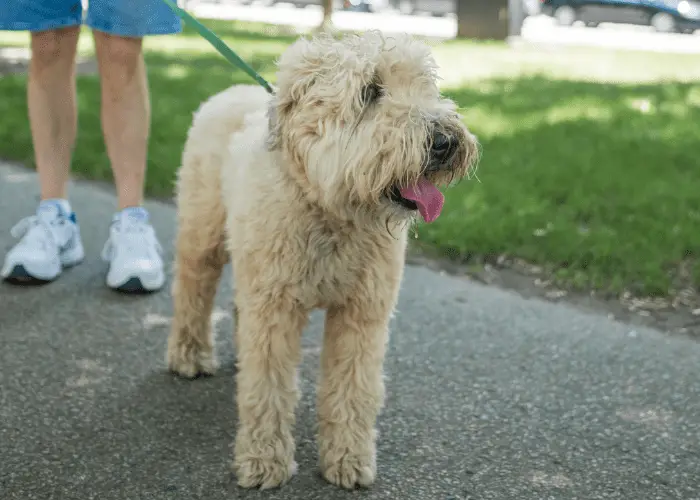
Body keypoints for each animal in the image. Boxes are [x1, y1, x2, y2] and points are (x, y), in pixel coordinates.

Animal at [165, 29, 482, 490]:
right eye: (370, 91)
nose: (444, 141)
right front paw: (263, 460)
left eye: (426, 85)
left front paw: (348, 460)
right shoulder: (276, 310)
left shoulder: (361, 314)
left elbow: (352, 389)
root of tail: (231, 91)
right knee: (192, 288)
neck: (330, 211)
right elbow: (268, 388)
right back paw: (188, 355)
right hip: (203, 235)